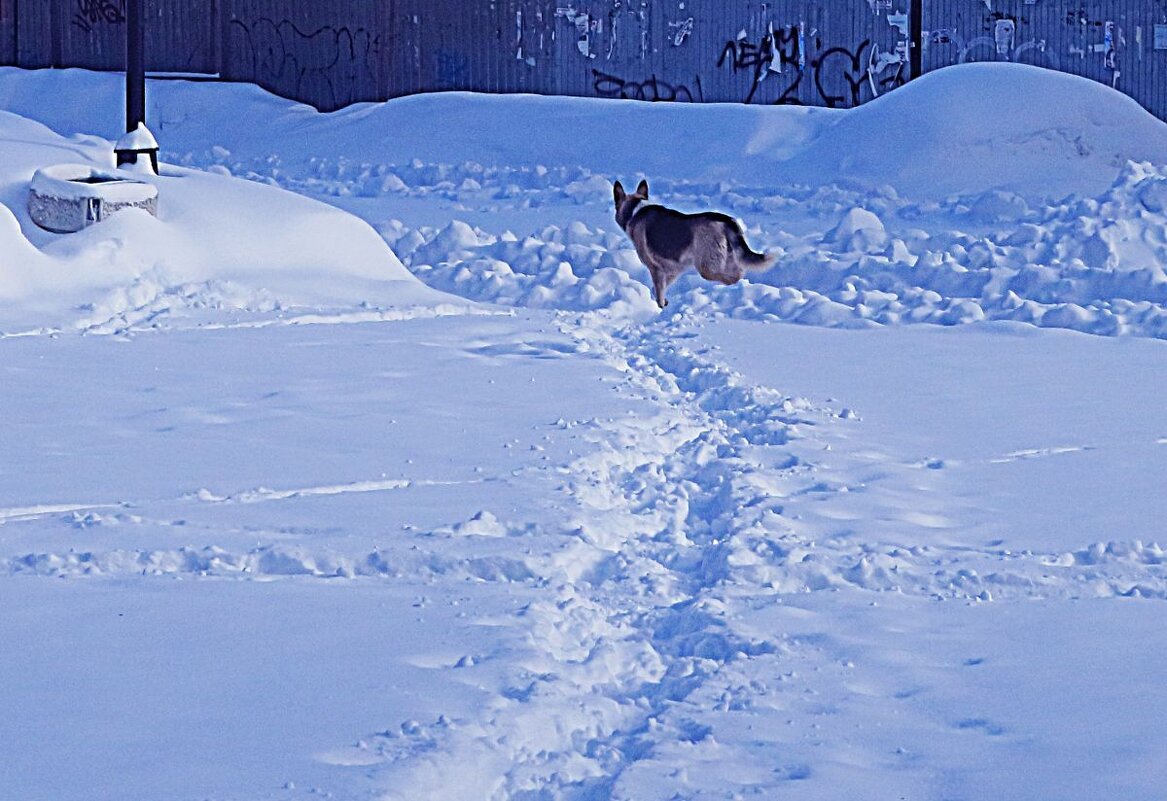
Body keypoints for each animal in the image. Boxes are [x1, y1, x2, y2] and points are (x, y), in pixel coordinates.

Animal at [611, 180, 774, 308]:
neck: (636, 210)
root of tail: (727, 221)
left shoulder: (656, 269)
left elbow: (659, 290)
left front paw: (660, 306)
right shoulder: (673, 268)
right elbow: (661, 287)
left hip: (706, 267)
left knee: (734, 276)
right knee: (738, 272)